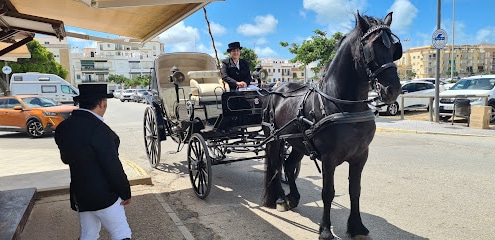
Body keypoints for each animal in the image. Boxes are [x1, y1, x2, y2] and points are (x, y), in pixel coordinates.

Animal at [264, 12, 404, 239]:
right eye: (371, 49)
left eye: (394, 49)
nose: (393, 90)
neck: (346, 107)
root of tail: (276, 89)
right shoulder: (329, 158)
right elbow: (328, 192)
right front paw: (325, 230)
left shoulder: (360, 156)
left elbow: (355, 190)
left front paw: (356, 226)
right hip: (276, 140)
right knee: (277, 166)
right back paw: (280, 199)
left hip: (298, 143)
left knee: (289, 166)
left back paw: (293, 197)